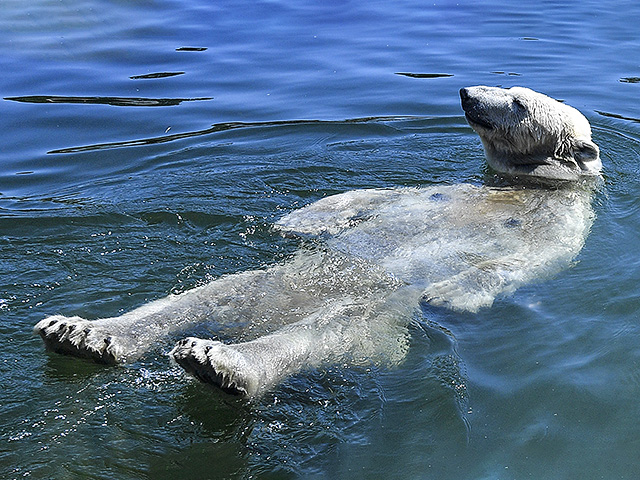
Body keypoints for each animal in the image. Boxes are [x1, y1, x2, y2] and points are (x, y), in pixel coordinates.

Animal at [35, 86, 604, 398]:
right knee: (206, 294)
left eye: (518, 103)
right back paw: (83, 333)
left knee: (329, 328)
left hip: (375, 311)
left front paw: (452, 295)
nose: (466, 93)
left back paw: (220, 362)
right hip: (269, 282)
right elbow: (371, 196)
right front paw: (296, 219)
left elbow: (530, 262)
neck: (527, 186)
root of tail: (260, 318)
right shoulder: (444, 188)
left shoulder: (563, 221)